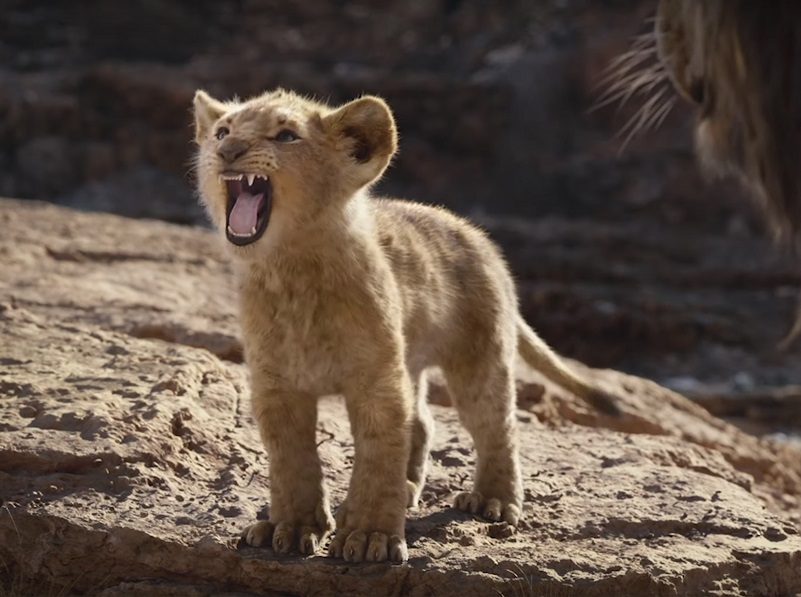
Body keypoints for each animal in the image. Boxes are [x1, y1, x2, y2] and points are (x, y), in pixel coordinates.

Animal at [192, 87, 620, 563]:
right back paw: (410, 489)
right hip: (409, 361)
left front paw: (368, 537)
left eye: (285, 135)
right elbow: (291, 461)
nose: (228, 151)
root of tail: (480, 238)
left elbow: (379, 456)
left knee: (496, 424)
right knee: (423, 420)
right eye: (222, 131)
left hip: (479, 354)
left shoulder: (375, 379)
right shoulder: (277, 384)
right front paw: (290, 527)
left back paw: (493, 500)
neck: (292, 272)